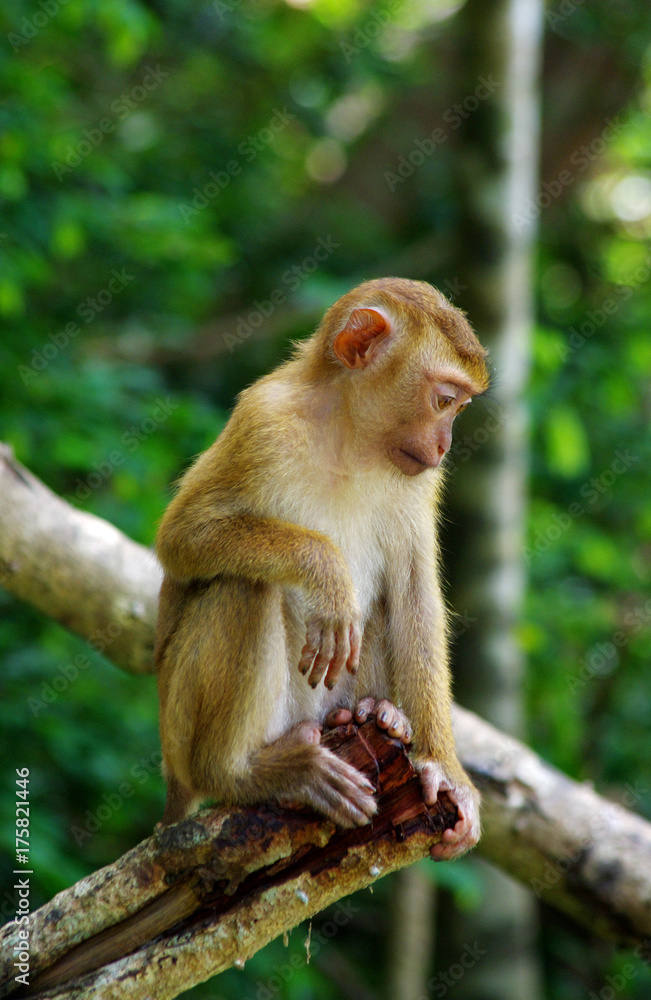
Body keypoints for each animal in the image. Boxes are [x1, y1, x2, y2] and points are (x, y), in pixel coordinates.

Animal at [155, 276, 489, 860]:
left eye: (459, 407)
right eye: (444, 400)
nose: (445, 444)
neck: (350, 436)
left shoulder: (419, 479)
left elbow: (414, 593)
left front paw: (444, 772)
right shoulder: (261, 421)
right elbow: (183, 537)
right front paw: (326, 571)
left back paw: (376, 715)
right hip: (178, 727)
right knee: (245, 585)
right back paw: (239, 773)